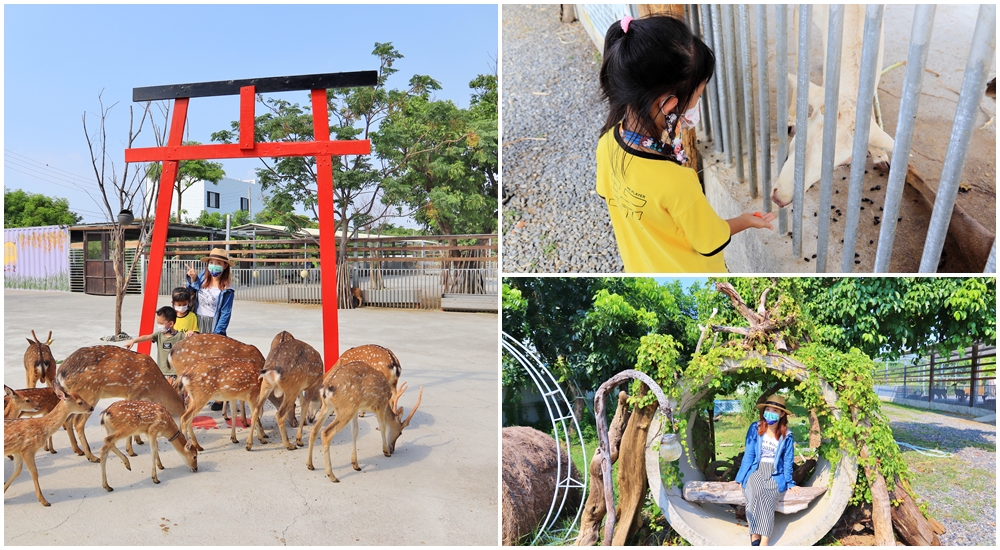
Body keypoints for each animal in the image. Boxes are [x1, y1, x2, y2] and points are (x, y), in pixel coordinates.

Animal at [55, 348, 187, 464]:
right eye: (184, 416)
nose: (185, 437)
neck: (155, 387)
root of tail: (60, 373)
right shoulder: (135, 392)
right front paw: (131, 451)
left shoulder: (128, 396)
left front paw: (138, 440)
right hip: (89, 393)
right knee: (78, 422)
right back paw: (92, 457)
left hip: (75, 399)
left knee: (68, 419)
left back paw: (78, 450)